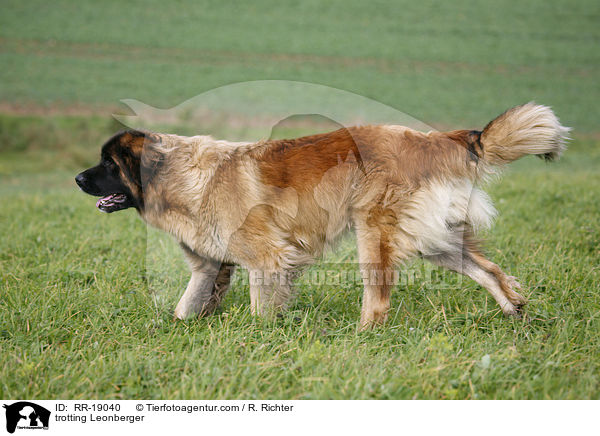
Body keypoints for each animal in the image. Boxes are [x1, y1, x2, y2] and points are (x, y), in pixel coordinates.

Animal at [77, 104, 568, 328]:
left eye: (108, 165)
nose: (78, 179)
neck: (182, 176)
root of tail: (432, 139)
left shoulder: (268, 258)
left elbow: (261, 308)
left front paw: (259, 338)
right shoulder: (210, 266)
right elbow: (188, 305)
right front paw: (177, 330)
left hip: (376, 233)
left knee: (379, 297)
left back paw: (364, 334)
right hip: (435, 240)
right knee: (489, 270)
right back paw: (515, 312)